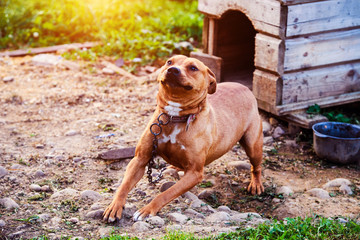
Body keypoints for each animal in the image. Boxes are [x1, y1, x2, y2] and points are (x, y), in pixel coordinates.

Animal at [103, 55, 264, 222]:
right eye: (169, 62)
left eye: (193, 68)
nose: (172, 70)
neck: (174, 116)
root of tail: (244, 87)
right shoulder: (140, 159)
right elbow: (124, 186)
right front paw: (114, 206)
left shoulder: (194, 173)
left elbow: (166, 193)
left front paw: (147, 210)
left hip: (253, 146)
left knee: (256, 167)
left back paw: (256, 184)